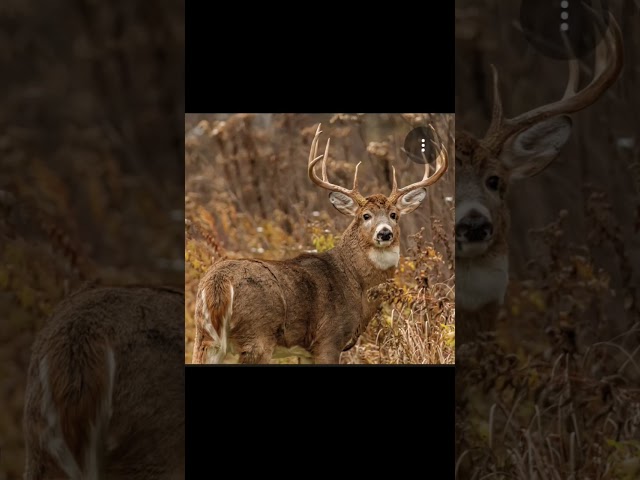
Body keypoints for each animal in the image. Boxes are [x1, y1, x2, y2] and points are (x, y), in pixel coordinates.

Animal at [191, 123, 448, 364]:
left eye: (394, 215)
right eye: (365, 216)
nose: (384, 233)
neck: (356, 281)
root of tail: (218, 283)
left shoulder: (306, 350)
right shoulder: (329, 338)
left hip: (204, 337)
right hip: (257, 336)